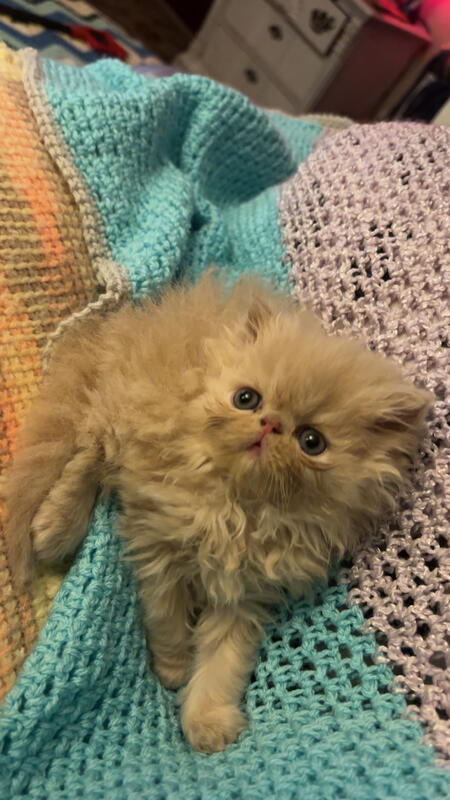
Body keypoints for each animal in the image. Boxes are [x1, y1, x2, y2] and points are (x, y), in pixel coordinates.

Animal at [2, 272, 430, 753]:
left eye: (312, 442)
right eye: (247, 399)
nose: (270, 424)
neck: (238, 508)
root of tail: (134, 323)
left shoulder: (243, 594)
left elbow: (223, 662)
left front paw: (207, 722)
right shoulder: (159, 548)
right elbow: (167, 619)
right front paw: (172, 669)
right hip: (118, 414)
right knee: (86, 458)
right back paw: (54, 528)